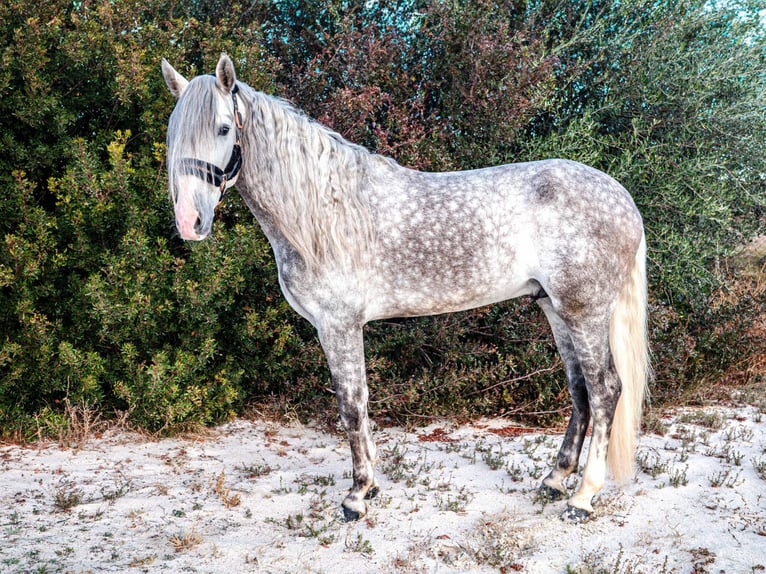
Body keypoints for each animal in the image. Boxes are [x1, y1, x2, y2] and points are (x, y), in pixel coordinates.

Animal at [165, 55, 652, 528]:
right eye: (173, 133)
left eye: (223, 128)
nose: (190, 221)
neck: (325, 211)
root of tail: (622, 198)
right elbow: (361, 402)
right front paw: (372, 486)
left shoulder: (338, 325)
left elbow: (351, 405)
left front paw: (357, 497)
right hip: (556, 308)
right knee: (579, 389)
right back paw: (554, 480)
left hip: (585, 311)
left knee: (605, 390)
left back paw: (583, 498)